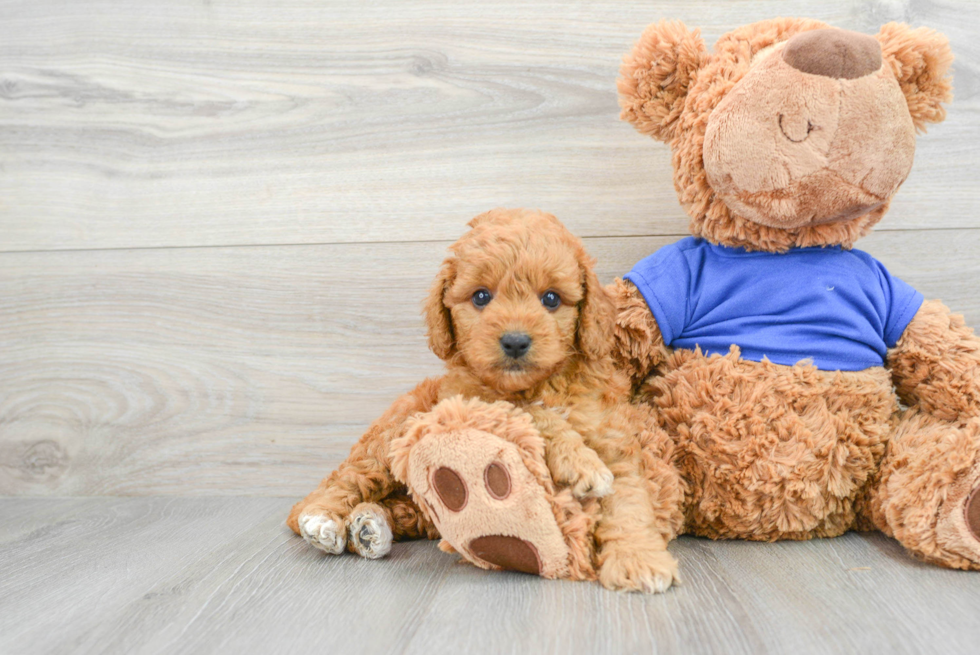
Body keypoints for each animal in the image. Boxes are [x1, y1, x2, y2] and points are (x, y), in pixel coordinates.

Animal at [288, 210, 684, 596]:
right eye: (480, 297)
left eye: (551, 299)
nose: (515, 341)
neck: (536, 385)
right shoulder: (468, 399)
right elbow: (530, 413)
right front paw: (581, 463)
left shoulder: (611, 437)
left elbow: (629, 501)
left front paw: (638, 559)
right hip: (389, 439)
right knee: (346, 481)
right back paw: (323, 520)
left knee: (405, 510)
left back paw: (371, 527)